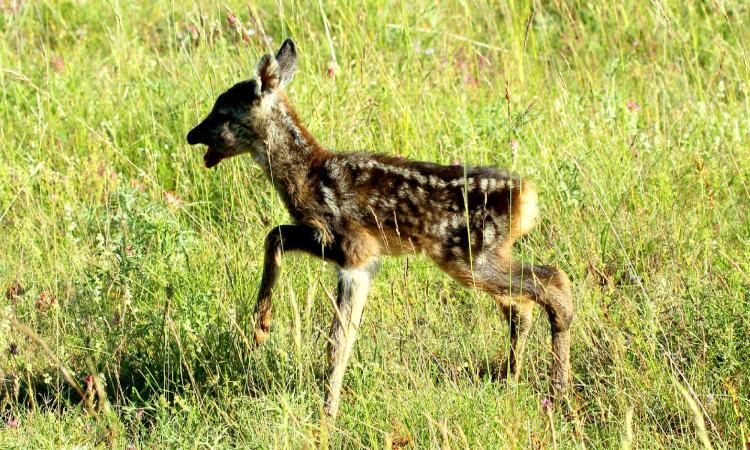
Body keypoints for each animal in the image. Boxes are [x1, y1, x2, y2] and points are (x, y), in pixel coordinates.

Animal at [188, 39, 576, 422]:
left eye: (222, 112)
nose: (192, 134)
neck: (309, 175)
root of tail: (526, 196)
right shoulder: (338, 243)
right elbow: (276, 235)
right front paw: (260, 327)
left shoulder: (355, 249)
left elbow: (337, 340)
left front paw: (327, 416)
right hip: (485, 255)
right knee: (522, 305)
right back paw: (510, 377)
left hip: (470, 256)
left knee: (553, 282)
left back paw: (557, 392)